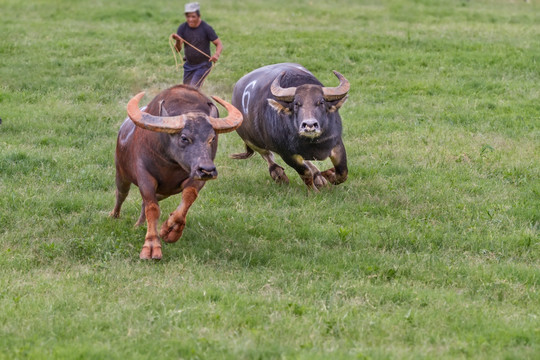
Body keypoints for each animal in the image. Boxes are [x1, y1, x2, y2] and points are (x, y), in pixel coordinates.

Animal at [110, 85, 242, 258]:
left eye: (212, 138)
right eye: (184, 138)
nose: (207, 170)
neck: (171, 164)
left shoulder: (195, 178)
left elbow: (188, 197)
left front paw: (169, 230)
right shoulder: (145, 177)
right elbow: (152, 208)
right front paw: (151, 245)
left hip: (163, 192)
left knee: (145, 203)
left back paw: (139, 224)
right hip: (121, 174)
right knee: (121, 194)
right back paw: (114, 216)